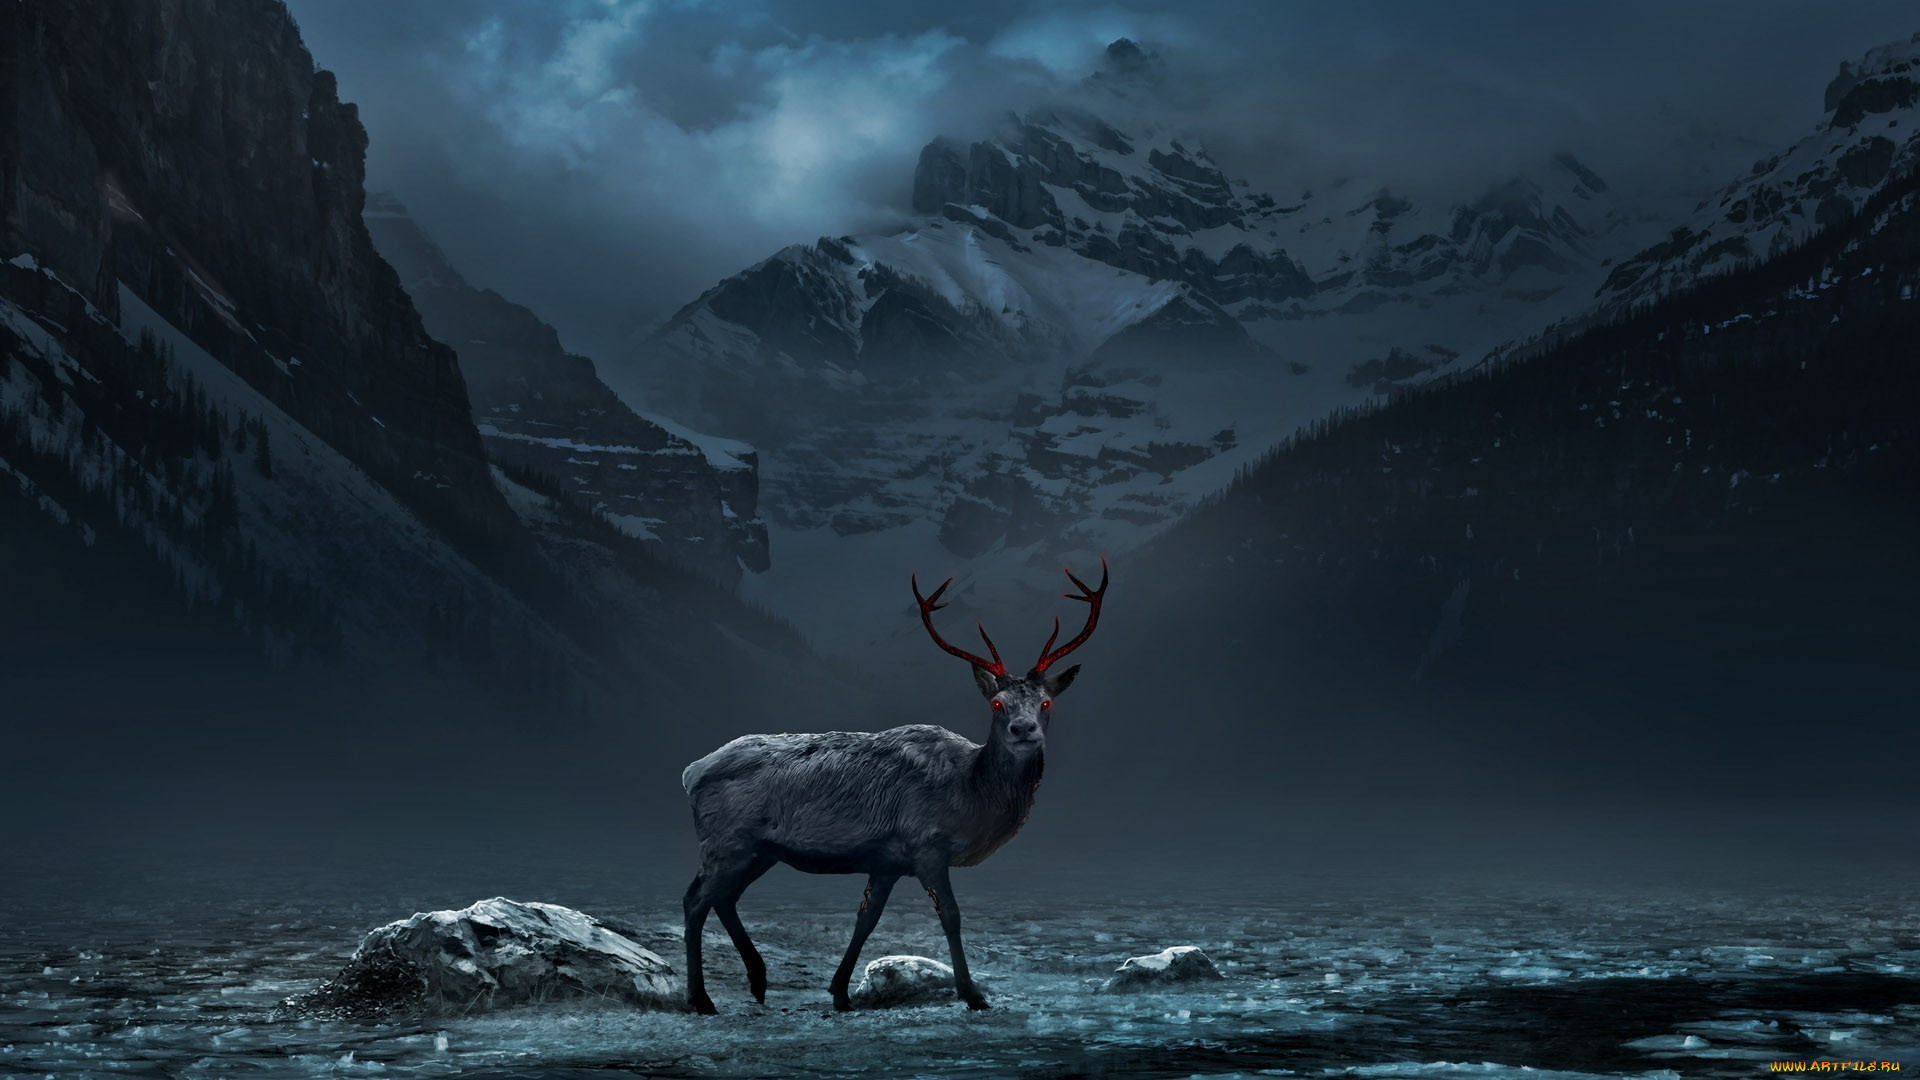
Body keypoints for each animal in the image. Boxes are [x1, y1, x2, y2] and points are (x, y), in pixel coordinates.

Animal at [678, 560, 1108, 1014]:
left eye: (1046, 702)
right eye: (997, 704)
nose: (1023, 728)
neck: (970, 795)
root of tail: (691, 772)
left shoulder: (886, 861)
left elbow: (866, 919)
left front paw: (840, 992)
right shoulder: (927, 845)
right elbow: (951, 916)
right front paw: (973, 994)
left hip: (761, 851)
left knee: (724, 898)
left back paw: (758, 980)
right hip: (726, 841)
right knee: (695, 900)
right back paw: (701, 998)